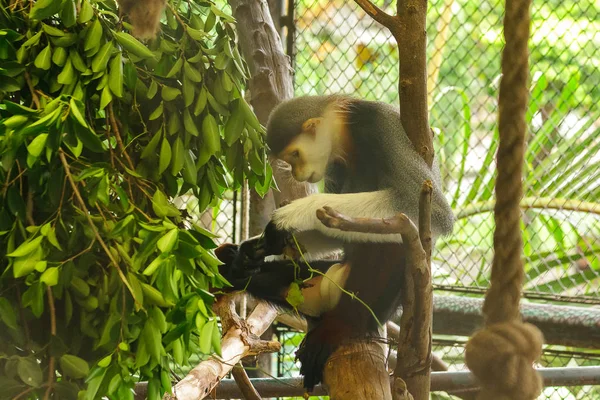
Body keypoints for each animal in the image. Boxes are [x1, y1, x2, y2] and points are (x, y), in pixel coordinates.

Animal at [216, 94, 454, 390]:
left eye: (294, 155)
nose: (295, 174)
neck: (348, 135)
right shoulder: (333, 166)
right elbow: (333, 228)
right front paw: (258, 247)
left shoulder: (383, 127)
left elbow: (434, 213)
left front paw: (291, 214)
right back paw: (233, 265)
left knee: (394, 240)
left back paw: (341, 324)